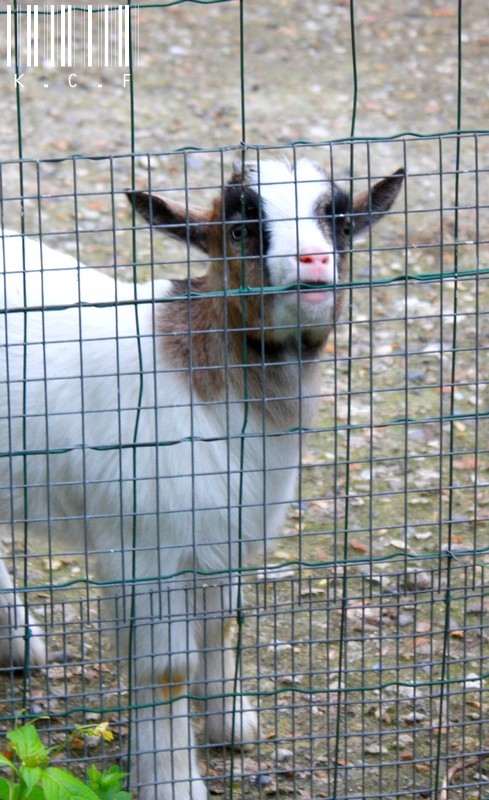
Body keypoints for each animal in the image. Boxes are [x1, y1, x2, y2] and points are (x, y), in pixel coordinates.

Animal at [0, 158, 402, 800]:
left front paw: (230, 722)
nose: (314, 261)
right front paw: (172, 782)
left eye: (339, 223)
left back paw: (19, 644)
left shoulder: (221, 529)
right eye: (240, 229)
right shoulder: (147, 544)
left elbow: (217, 626)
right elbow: (167, 667)